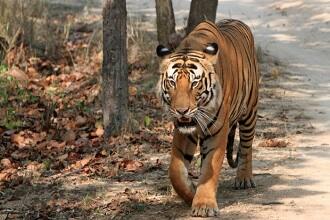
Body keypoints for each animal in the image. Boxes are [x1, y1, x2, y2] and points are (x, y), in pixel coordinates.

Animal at [156, 19, 260, 218]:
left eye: (194, 83)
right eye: (172, 82)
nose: (181, 111)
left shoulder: (217, 131)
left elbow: (209, 171)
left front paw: (203, 205)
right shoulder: (183, 132)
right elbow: (175, 171)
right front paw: (190, 194)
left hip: (250, 110)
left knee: (246, 145)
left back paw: (244, 178)